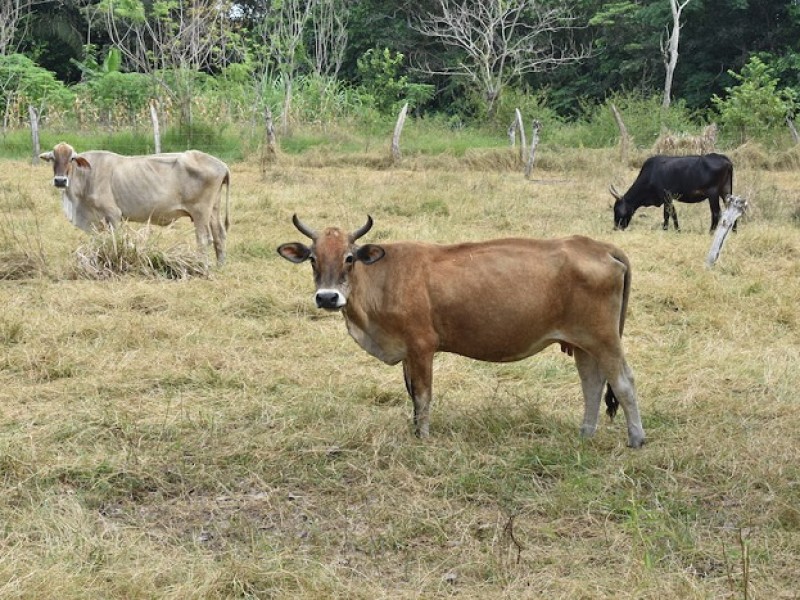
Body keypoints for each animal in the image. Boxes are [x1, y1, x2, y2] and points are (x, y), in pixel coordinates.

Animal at [39, 142, 231, 264]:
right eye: (52, 158)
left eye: (72, 158)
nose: (60, 181)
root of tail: (222, 165)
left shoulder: (113, 214)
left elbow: (114, 241)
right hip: (213, 209)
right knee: (219, 236)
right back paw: (220, 266)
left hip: (200, 212)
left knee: (204, 239)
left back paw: (203, 267)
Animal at [278, 216, 648, 446]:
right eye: (312, 259)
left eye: (349, 257)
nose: (328, 297)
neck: (383, 279)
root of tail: (599, 246)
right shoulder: (408, 353)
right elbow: (412, 395)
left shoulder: (422, 346)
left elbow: (423, 395)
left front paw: (423, 437)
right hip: (583, 343)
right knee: (593, 385)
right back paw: (585, 433)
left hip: (605, 338)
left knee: (623, 382)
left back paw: (636, 439)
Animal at [608, 152, 736, 232]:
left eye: (616, 209)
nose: (616, 228)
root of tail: (726, 160)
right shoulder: (667, 199)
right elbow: (670, 214)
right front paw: (673, 229)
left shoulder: (667, 196)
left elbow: (669, 214)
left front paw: (670, 229)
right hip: (725, 191)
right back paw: (734, 231)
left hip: (713, 193)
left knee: (716, 212)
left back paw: (711, 232)